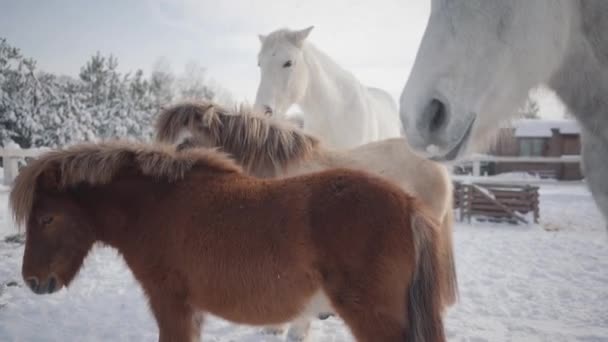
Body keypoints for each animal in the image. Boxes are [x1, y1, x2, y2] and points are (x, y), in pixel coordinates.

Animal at [10, 140, 446, 340]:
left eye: (47, 218)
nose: (33, 281)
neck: (157, 205)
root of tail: (408, 204)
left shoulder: (171, 304)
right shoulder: (191, 311)